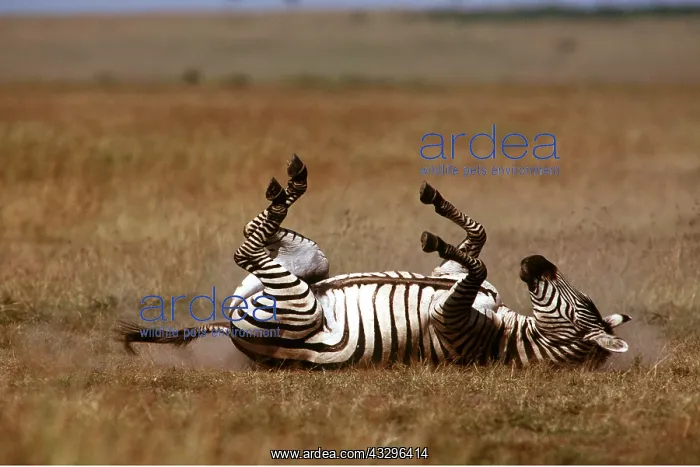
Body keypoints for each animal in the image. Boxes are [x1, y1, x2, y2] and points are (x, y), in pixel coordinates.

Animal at [117, 154, 631, 369]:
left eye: (579, 304)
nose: (535, 260)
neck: (509, 333)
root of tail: (232, 330)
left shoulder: (449, 321)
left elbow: (477, 265)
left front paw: (440, 238)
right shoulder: (456, 284)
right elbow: (478, 241)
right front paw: (440, 217)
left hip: (298, 305)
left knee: (247, 249)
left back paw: (292, 183)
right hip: (308, 266)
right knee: (254, 240)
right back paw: (285, 186)